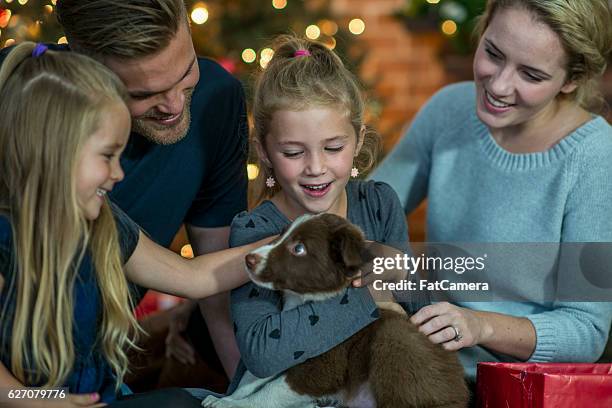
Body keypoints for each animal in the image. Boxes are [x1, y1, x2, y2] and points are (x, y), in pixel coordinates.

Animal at [244, 214, 468, 408]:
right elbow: (256, 376)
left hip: (397, 337)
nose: (248, 258)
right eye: (281, 234)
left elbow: (269, 392)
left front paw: (236, 402)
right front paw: (241, 390)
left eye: (299, 248)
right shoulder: (286, 353)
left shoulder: (325, 366)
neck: (302, 301)